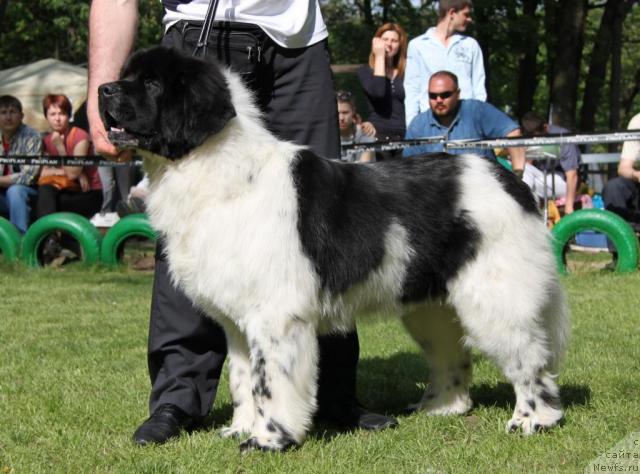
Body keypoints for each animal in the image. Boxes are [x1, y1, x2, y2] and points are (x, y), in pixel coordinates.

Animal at [100, 47, 568, 452]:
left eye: (152, 84)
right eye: (127, 76)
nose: (104, 89)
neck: (215, 170)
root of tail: (509, 179)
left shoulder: (275, 316)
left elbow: (269, 382)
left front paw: (268, 439)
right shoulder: (236, 322)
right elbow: (242, 379)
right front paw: (240, 429)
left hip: (495, 295)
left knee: (530, 357)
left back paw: (533, 419)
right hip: (432, 305)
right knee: (453, 354)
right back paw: (441, 408)